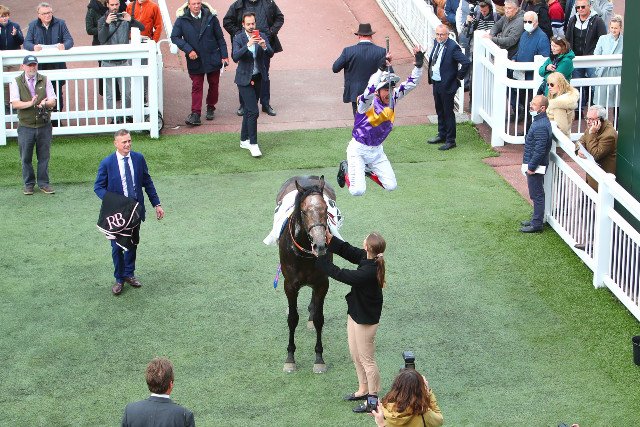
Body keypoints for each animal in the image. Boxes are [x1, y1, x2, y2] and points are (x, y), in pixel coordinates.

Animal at [276, 175, 336, 373]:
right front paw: (290, 358)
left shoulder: (322, 282)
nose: (320, 245)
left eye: (325, 209)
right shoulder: (290, 285)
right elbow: (292, 319)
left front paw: (319, 358)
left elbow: (319, 318)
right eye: (303, 211)